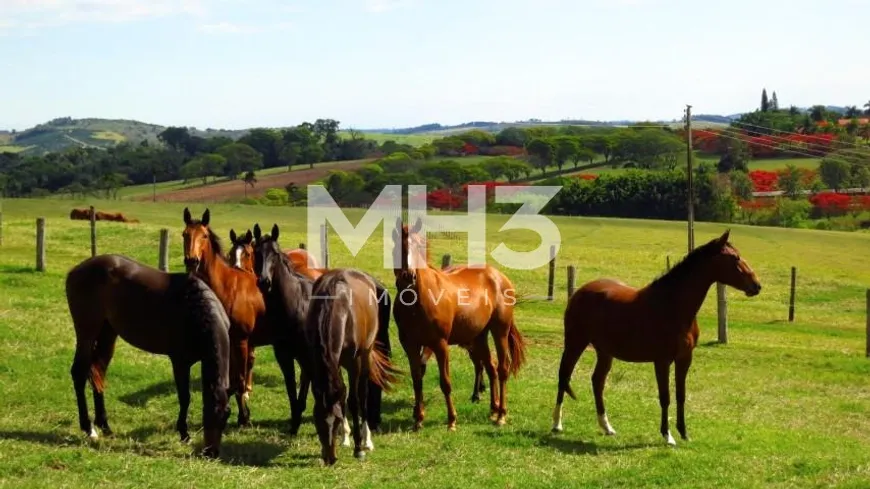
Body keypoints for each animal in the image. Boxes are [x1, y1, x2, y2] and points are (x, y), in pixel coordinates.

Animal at [65, 254, 232, 456]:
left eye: (226, 417)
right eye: (208, 413)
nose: (211, 453)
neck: (197, 310)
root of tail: (76, 270)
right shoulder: (180, 362)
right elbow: (185, 398)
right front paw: (184, 434)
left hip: (108, 333)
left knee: (98, 373)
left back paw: (105, 426)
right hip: (87, 333)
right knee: (79, 373)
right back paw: (89, 428)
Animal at [306, 264, 402, 464]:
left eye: (335, 422)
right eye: (317, 421)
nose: (330, 458)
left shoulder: (353, 363)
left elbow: (354, 400)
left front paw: (358, 448)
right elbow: (341, 396)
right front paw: (345, 437)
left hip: (365, 355)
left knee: (363, 394)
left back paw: (367, 440)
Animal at [394, 216, 528, 428]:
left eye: (419, 245)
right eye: (396, 244)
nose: (408, 276)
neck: (417, 302)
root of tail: (500, 277)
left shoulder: (439, 344)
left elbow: (445, 382)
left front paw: (451, 420)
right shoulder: (410, 345)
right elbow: (417, 379)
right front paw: (418, 419)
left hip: (500, 331)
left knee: (502, 368)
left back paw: (501, 415)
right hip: (479, 336)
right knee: (490, 367)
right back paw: (493, 409)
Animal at [552, 228, 764, 442]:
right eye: (734, 257)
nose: (756, 285)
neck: (673, 305)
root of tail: (580, 291)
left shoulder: (684, 359)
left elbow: (680, 395)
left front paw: (684, 433)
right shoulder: (662, 361)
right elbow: (665, 397)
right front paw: (667, 435)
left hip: (605, 352)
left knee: (597, 382)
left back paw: (607, 426)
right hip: (575, 343)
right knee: (564, 375)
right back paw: (557, 424)